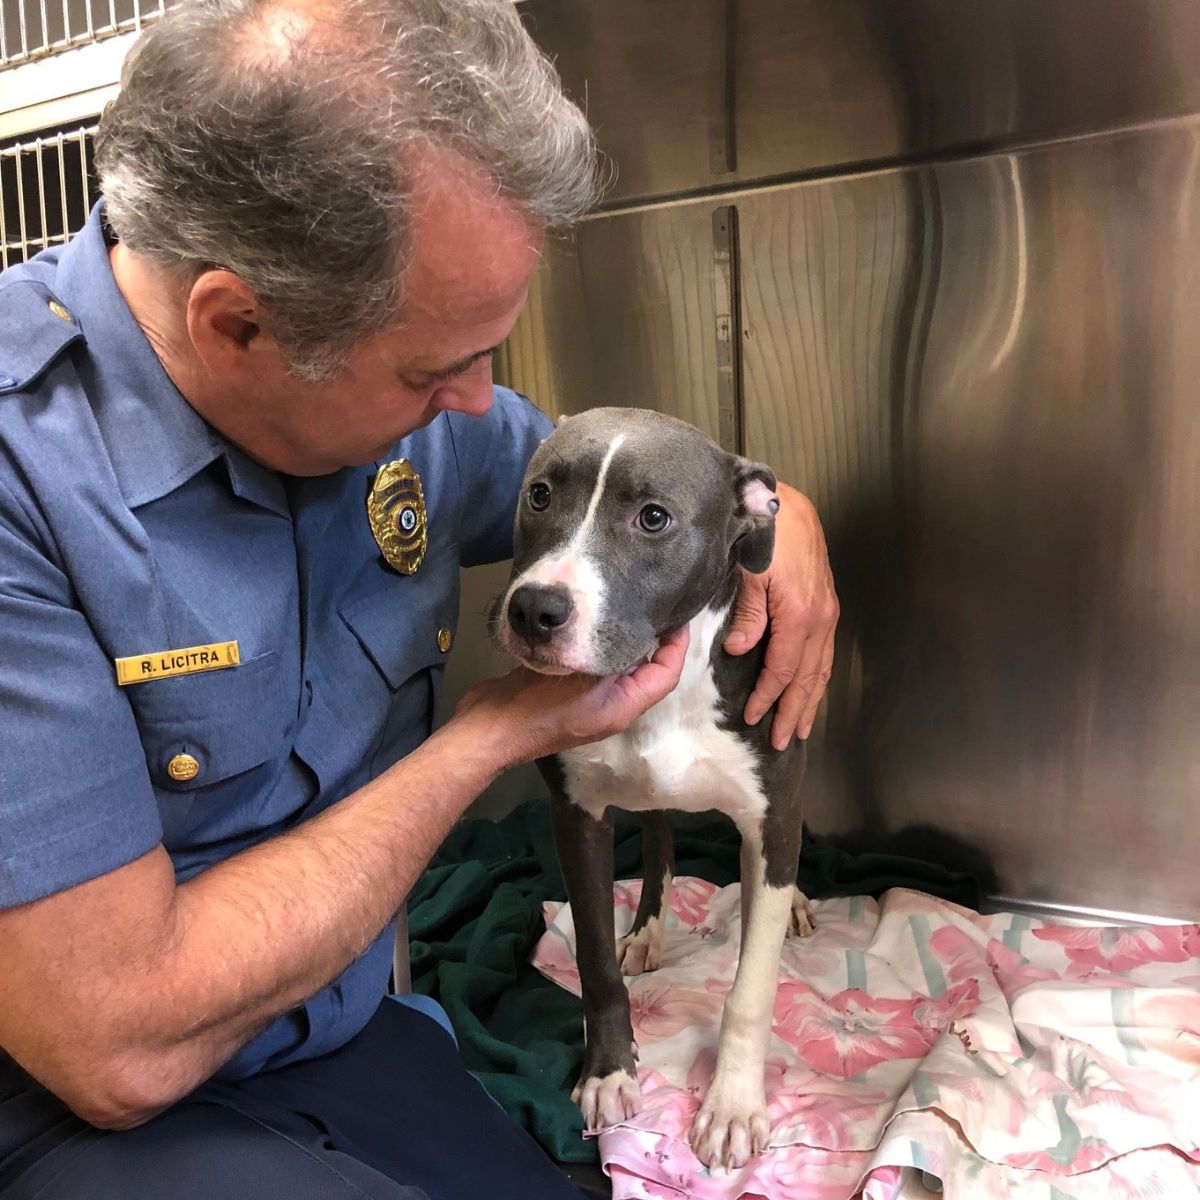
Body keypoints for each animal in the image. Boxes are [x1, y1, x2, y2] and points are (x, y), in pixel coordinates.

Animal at [492, 410, 811, 1171]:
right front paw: (609, 1071)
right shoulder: (576, 816)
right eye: (539, 495)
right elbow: (594, 962)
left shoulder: (772, 815)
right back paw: (646, 929)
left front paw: (733, 1107)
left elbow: (752, 988)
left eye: (654, 517)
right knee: (662, 837)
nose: (534, 609)